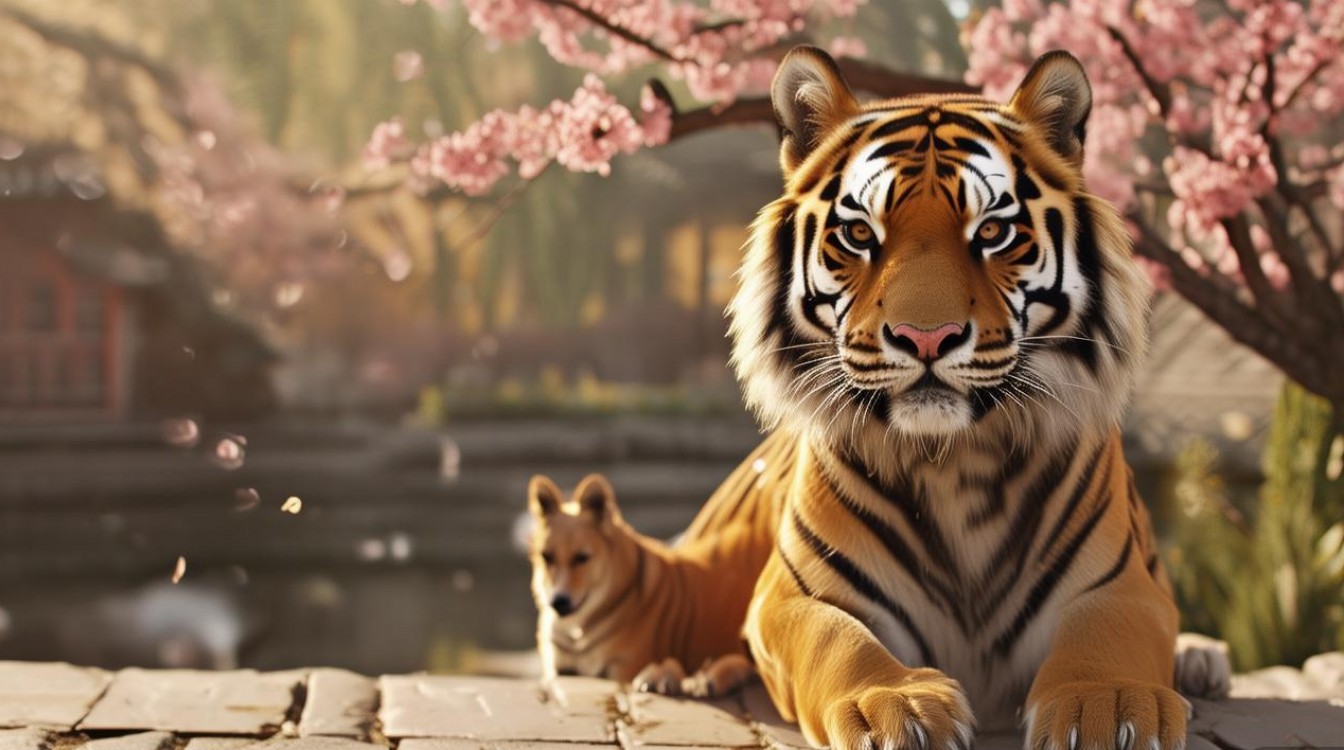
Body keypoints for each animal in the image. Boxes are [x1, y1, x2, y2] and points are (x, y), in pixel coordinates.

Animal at [526, 473, 765, 696]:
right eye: (546, 557)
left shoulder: (624, 668)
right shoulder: (557, 667)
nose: (558, 602)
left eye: (581, 558)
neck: (579, 632)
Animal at [683, 46, 1194, 749]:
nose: (927, 336)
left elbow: (1108, 635)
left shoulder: (1123, 585)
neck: (956, 462)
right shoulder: (793, 596)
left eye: (995, 231)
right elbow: (837, 641)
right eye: (859, 235)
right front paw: (892, 704)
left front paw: (1105, 703)